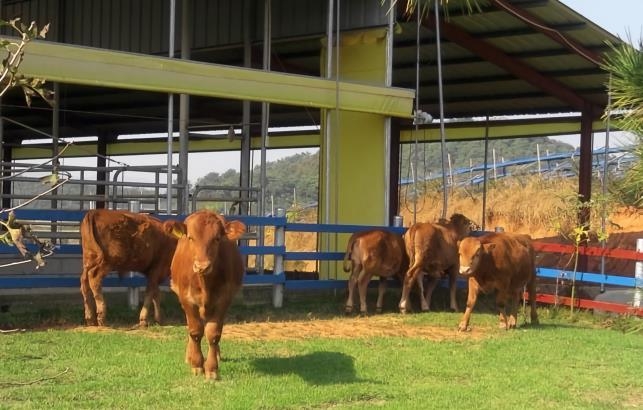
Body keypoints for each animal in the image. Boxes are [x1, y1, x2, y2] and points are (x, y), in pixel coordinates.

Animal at [169, 210, 247, 380]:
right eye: (191, 237)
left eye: (217, 238)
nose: (202, 266)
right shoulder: (187, 300)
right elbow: (195, 331)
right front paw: (197, 364)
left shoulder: (223, 300)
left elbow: (213, 333)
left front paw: (211, 368)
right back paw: (189, 356)